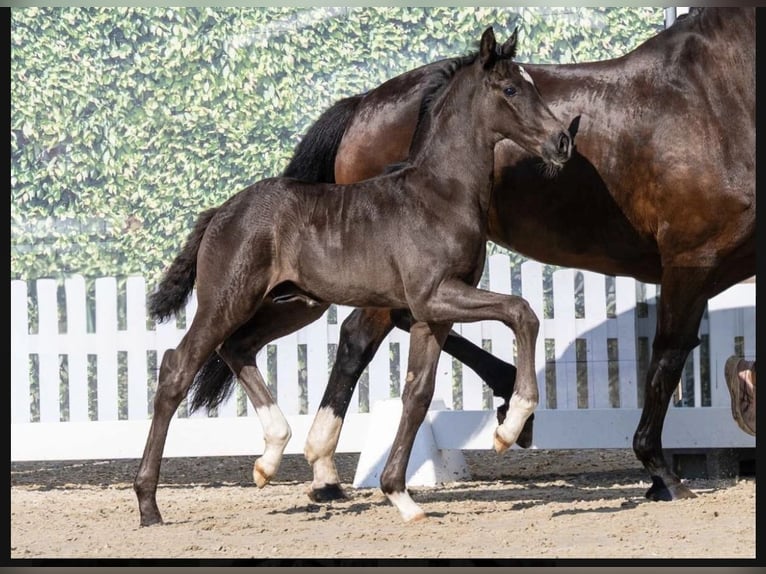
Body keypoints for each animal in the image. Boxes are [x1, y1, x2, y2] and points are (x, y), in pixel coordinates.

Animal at [133, 26, 573, 526]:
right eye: (511, 89)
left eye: (533, 85)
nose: (562, 141)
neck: (440, 193)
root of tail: (220, 211)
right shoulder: (435, 296)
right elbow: (522, 312)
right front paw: (510, 426)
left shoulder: (432, 313)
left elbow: (418, 393)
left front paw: (401, 496)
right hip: (227, 300)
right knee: (177, 368)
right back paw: (149, 503)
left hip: (296, 304)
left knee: (237, 347)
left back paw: (270, 457)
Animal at [276, 7, 755, 503]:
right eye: (509, 90)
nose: (563, 142)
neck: (717, 95)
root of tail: (363, 103)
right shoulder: (691, 259)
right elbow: (668, 357)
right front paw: (662, 473)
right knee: (358, 337)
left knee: (399, 324)